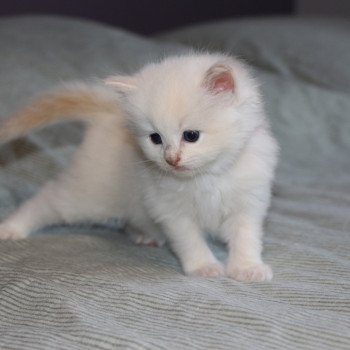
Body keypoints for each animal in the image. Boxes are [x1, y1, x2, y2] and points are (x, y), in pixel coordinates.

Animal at [0, 52, 278, 282]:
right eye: (155, 138)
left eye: (191, 136)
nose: (171, 159)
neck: (206, 177)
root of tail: (109, 114)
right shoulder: (171, 211)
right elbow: (190, 241)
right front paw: (204, 267)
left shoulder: (250, 202)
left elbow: (246, 238)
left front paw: (247, 268)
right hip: (88, 195)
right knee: (46, 200)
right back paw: (11, 228)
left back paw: (143, 234)